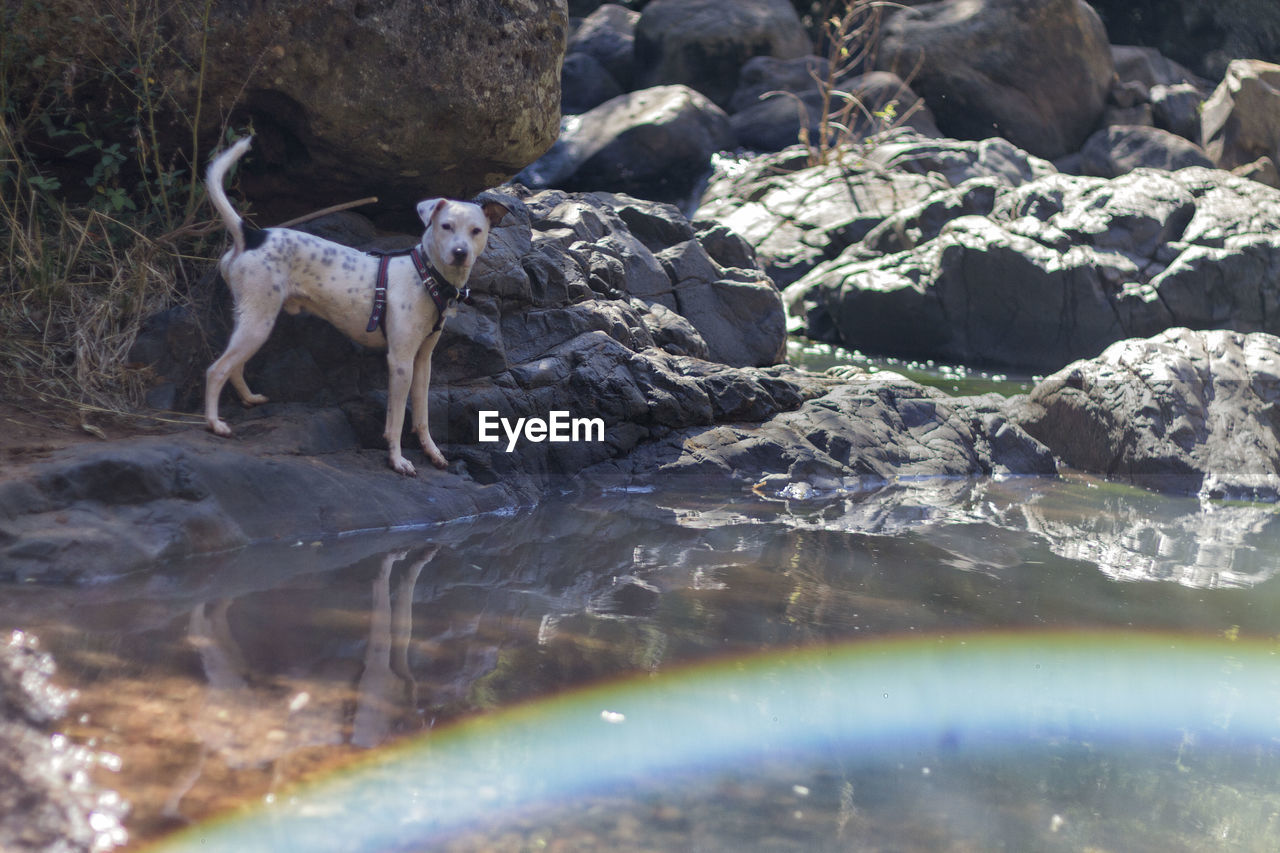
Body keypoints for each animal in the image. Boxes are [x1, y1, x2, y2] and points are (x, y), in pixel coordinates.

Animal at [203, 136, 504, 473]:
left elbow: (422, 416)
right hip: (258, 323)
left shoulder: (422, 361)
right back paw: (215, 423)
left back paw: (249, 399)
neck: (426, 275)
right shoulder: (400, 362)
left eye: (476, 231)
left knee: (235, 366)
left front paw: (432, 451)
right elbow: (397, 419)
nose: (460, 252)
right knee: (216, 370)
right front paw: (398, 459)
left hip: (253, 321)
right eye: (446, 226)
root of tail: (251, 235)